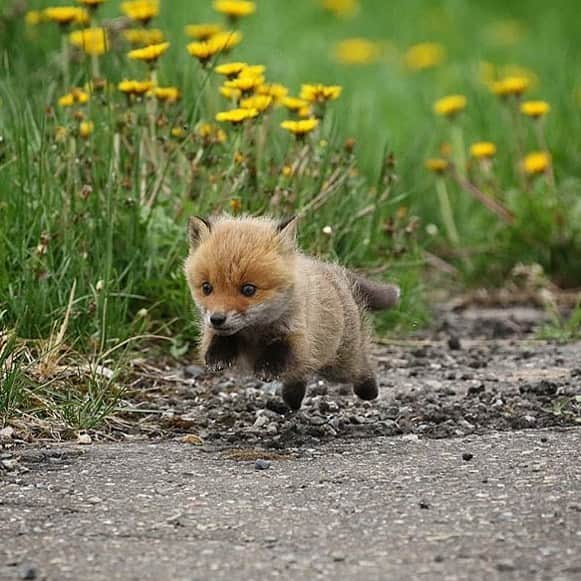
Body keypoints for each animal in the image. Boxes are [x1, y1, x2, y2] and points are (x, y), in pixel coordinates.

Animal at [185, 215, 398, 410]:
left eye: (248, 289)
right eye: (206, 288)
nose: (217, 319)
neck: (255, 332)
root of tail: (335, 272)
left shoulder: (298, 336)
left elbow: (279, 352)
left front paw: (267, 369)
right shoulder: (215, 332)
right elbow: (220, 339)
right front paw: (217, 357)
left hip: (339, 364)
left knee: (360, 368)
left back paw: (369, 390)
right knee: (298, 376)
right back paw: (292, 399)